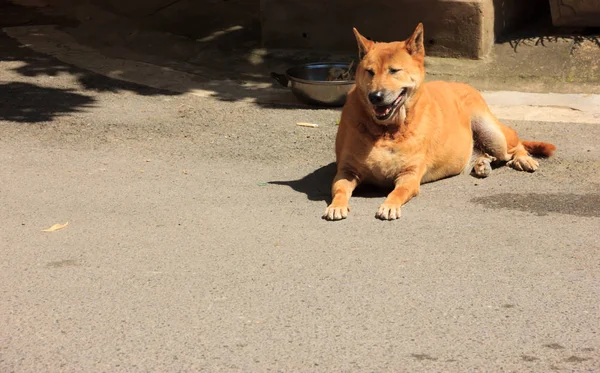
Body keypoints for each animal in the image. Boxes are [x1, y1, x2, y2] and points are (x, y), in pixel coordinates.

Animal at [326, 23, 556, 219]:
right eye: (370, 72)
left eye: (394, 71)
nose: (376, 96)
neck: (387, 130)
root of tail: (464, 85)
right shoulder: (346, 170)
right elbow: (339, 189)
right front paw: (337, 205)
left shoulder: (410, 175)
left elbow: (398, 192)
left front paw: (389, 205)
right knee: (486, 154)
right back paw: (482, 163)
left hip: (493, 133)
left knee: (513, 147)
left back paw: (522, 158)